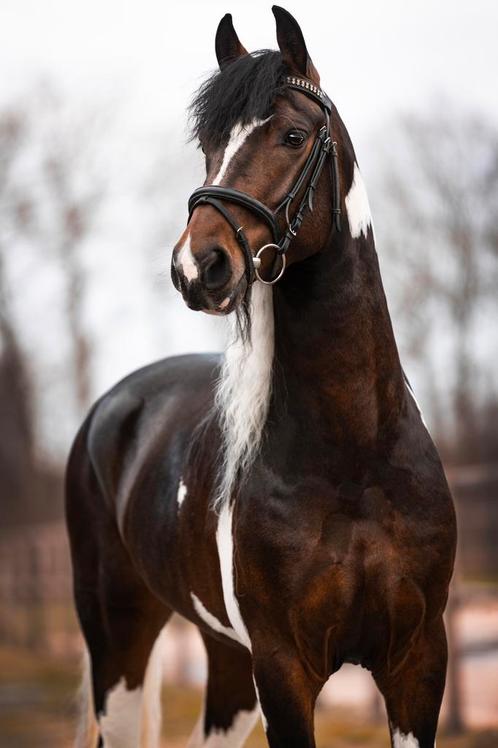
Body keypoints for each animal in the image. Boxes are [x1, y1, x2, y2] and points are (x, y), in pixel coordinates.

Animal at [68, 7, 458, 748]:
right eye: (209, 145)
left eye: (293, 136)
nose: (197, 267)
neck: (354, 456)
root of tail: (111, 409)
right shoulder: (284, 669)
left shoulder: (418, 662)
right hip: (119, 647)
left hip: (226, 660)